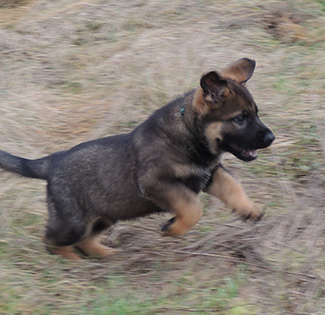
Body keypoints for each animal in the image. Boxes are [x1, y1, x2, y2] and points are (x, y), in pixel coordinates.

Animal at [0, 58, 274, 260]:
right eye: (240, 118)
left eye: (256, 114)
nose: (271, 137)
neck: (189, 131)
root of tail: (52, 161)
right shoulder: (155, 182)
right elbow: (193, 208)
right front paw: (172, 228)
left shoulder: (210, 174)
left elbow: (233, 186)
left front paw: (249, 208)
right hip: (73, 222)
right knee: (50, 239)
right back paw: (72, 261)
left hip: (104, 216)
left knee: (85, 240)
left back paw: (107, 255)